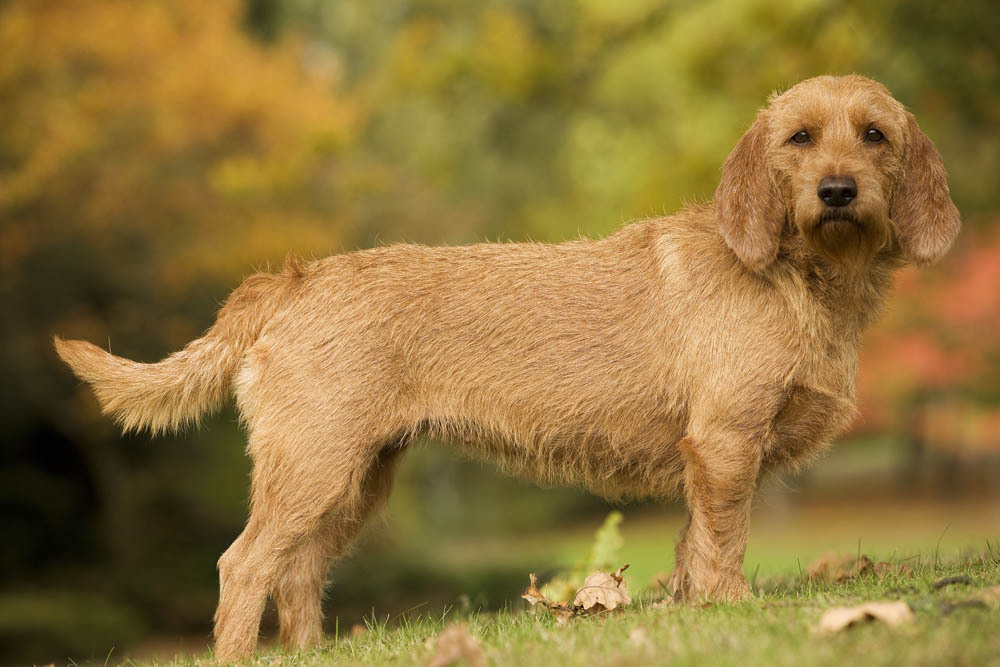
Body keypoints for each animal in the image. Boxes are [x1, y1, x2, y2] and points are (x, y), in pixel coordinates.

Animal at [56, 75, 960, 660]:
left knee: (300, 569)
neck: (798, 276)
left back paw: (310, 653)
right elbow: (724, 541)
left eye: (874, 134)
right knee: (243, 563)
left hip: (354, 480)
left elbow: (691, 546)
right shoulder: (726, 444)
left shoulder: (708, 459)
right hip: (312, 467)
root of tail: (292, 279)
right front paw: (732, 609)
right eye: (799, 137)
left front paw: (694, 614)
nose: (837, 190)